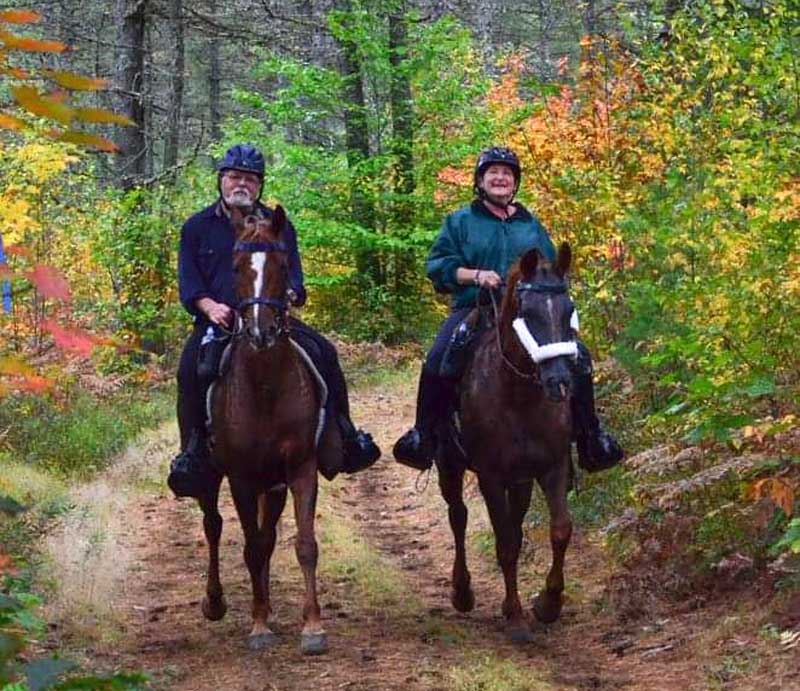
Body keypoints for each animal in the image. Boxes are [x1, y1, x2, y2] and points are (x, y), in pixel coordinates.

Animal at [198, 207, 328, 656]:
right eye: (237, 266)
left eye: (283, 266)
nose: (260, 332)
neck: (265, 386)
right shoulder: (240, 477)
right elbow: (251, 548)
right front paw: (257, 628)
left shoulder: (300, 467)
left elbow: (303, 545)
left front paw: (312, 627)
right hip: (212, 476)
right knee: (214, 525)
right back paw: (216, 602)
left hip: (272, 485)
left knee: (268, 534)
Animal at [438, 243, 576, 644]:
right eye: (527, 314)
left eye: (569, 310)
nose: (560, 382)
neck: (519, 397)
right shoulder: (491, 476)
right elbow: (507, 544)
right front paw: (515, 618)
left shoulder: (552, 467)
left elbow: (559, 529)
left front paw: (548, 604)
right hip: (449, 465)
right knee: (458, 516)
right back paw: (462, 592)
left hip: (522, 479)